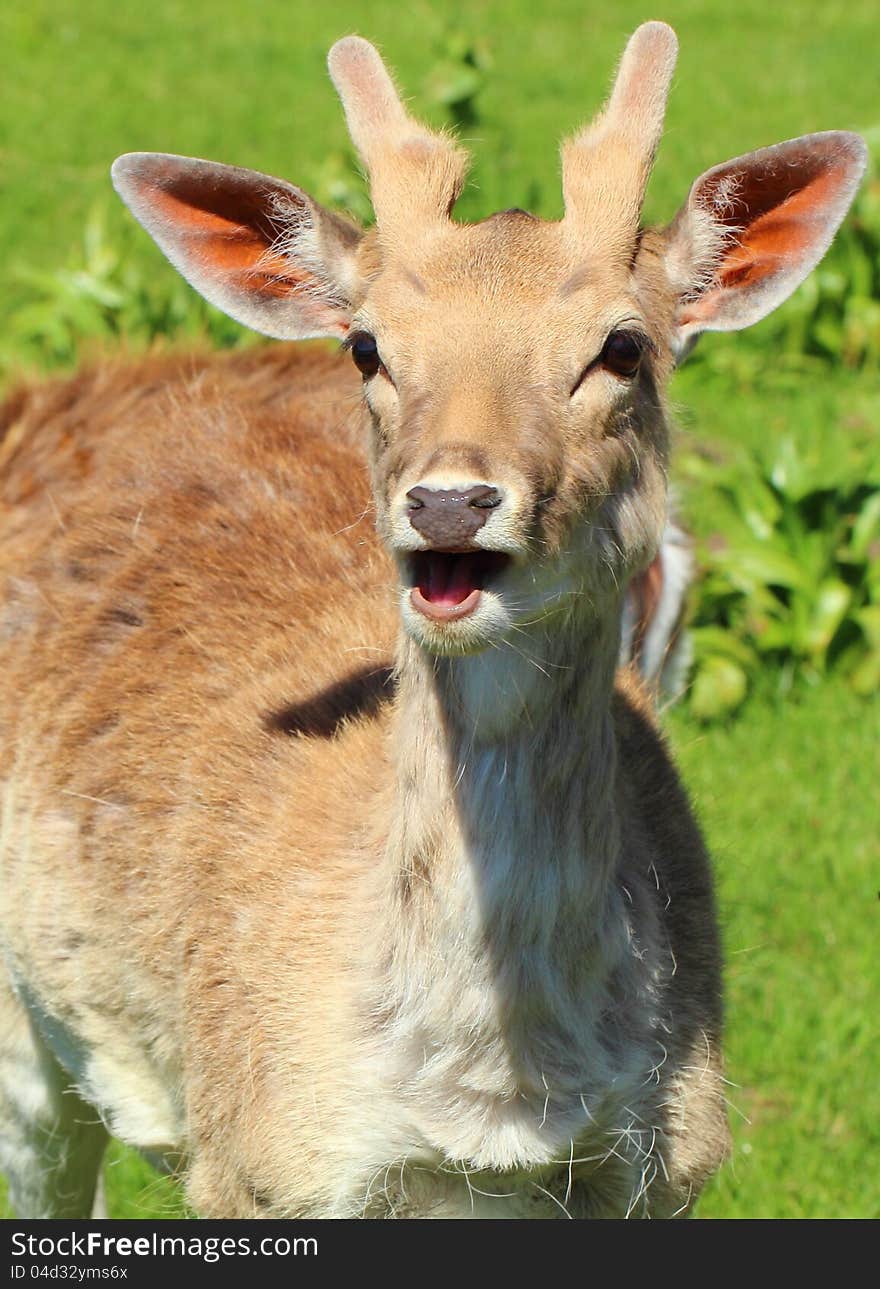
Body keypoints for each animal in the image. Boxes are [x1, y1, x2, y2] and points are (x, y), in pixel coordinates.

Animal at [0, 27, 865, 1216]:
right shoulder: (258, 1160)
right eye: (367, 347)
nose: (450, 499)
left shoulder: (675, 1160)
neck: (490, 1116)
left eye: (624, 347)